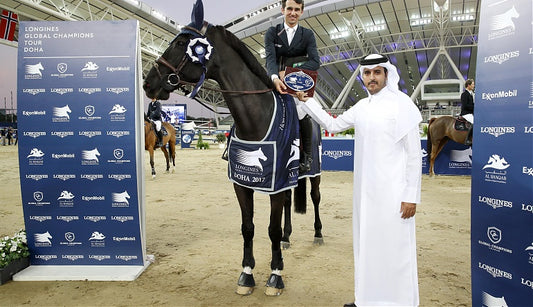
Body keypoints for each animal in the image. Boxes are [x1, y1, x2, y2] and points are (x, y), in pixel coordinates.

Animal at [142, 0, 320, 298]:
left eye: (181, 43)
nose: (148, 82)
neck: (255, 120)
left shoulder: (274, 183)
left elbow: (270, 229)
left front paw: (275, 275)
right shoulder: (242, 183)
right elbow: (248, 227)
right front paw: (247, 274)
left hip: (314, 173)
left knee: (315, 199)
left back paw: (317, 234)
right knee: (287, 205)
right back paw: (287, 238)